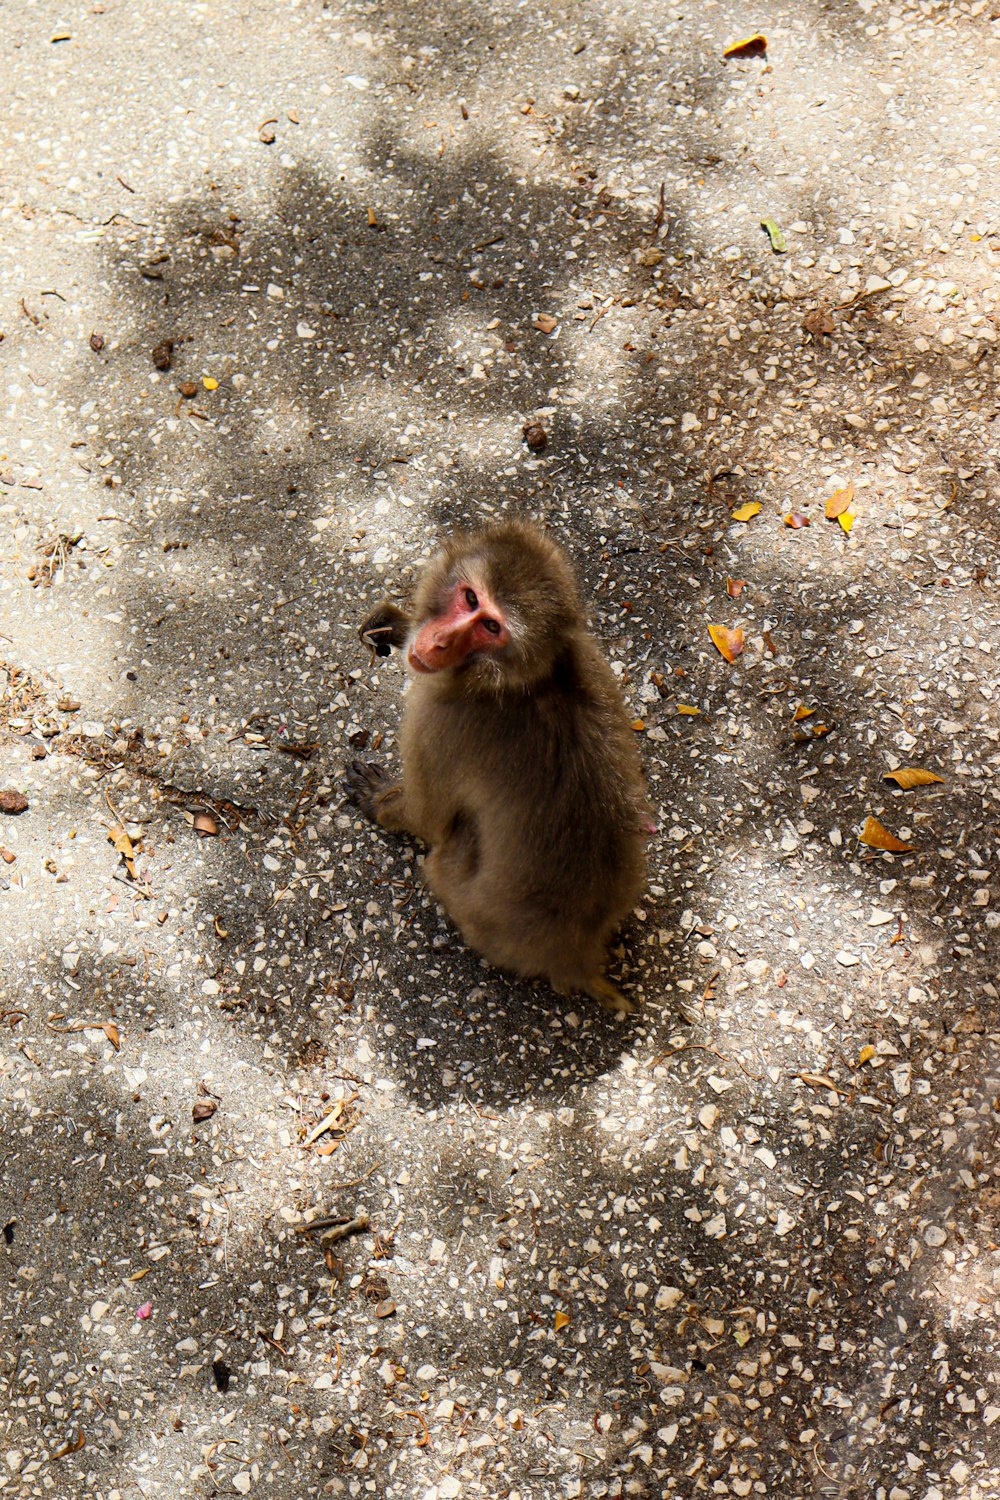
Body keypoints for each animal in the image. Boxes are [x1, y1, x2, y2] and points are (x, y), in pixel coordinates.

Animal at [347, 522, 653, 1014]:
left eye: (491, 627)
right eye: (471, 599)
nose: (438, 642)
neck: (526, 678)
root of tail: (578, 957)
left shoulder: (438, 723)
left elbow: (428, 817)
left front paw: (378, 801)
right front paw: (399, 621)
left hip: (463, 896)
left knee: (454, 838)